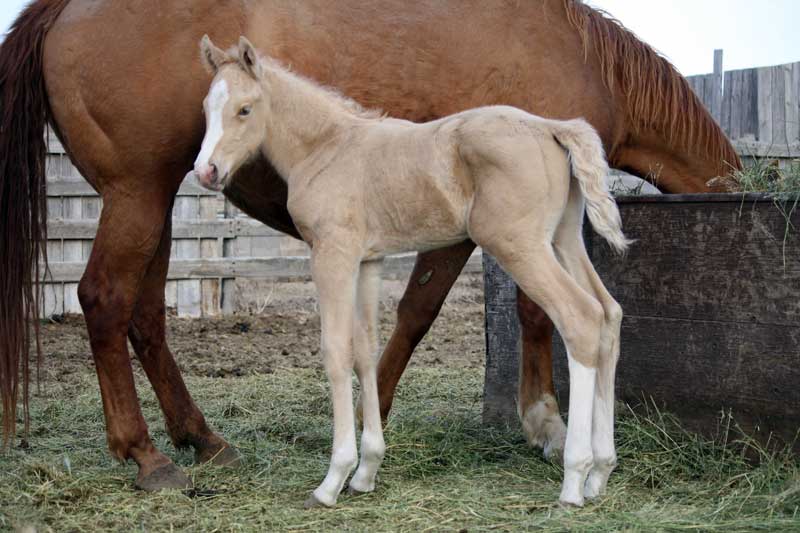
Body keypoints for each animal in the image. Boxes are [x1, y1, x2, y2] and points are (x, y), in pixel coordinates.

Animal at [195, 36, 632, 508]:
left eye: (244, 109)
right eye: (207, 107)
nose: (206, 171)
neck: (328, 146)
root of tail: (551, 126)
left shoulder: (333, 253)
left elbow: (336, 351)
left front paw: (333, 479)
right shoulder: (368, 260)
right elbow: (365, 350)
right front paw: (366, 470)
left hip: (520, 245)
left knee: (581, 318)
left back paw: (573, 480)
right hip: (563, 240)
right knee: (609, 314)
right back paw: (600, 473)